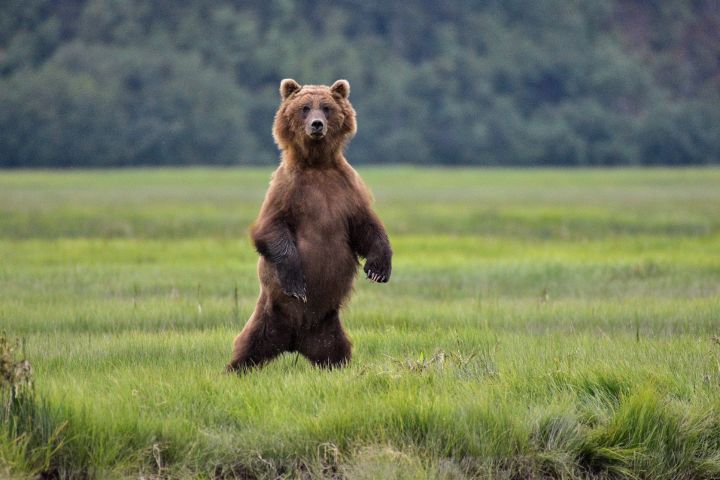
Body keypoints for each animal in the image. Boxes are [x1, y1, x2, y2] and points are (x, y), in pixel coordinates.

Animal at [226, 79, 390, 372]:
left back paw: (338, 366)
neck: (316, 164)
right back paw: (234, 368)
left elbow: (366, 226)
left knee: (336, 350)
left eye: (326, 107)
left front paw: (379, 269)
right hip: (269, 314)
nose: (316, 125)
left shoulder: (347, 189)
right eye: (304, 108)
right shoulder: (286, 189)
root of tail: (293, 340)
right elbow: (270, 229)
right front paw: (296, 283)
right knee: (249, 345)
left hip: (327, 326)